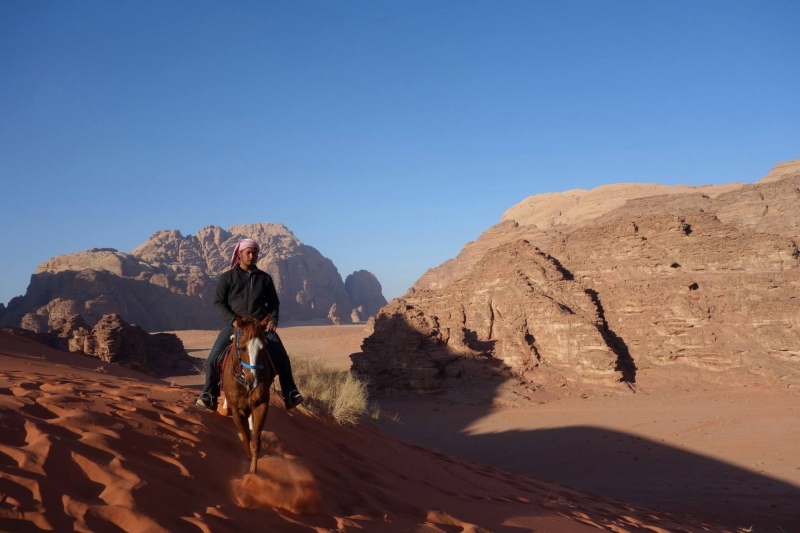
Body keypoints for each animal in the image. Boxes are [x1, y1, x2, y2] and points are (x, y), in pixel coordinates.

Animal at [222, 314, 278, 472]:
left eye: (263, 348)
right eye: (241, 348)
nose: (252, 381)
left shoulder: (261, 405)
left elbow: (254, 442)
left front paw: (253, 471)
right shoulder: (236, 410)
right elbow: (246, 438)